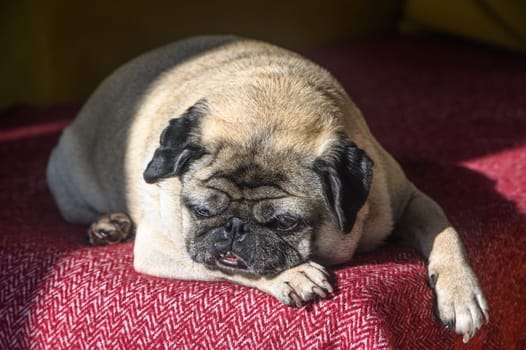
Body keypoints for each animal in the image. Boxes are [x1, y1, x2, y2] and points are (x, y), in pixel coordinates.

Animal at [47, 35, 488, 342]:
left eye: (285, 223)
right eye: (201, 211)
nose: (234, 228)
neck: (272, 102)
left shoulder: (410, 199)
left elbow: (447, 235)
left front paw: (461, 294)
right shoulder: (162, 246)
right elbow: (224, 267)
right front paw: (292, 276)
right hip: (67, 178)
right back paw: (108, 224)